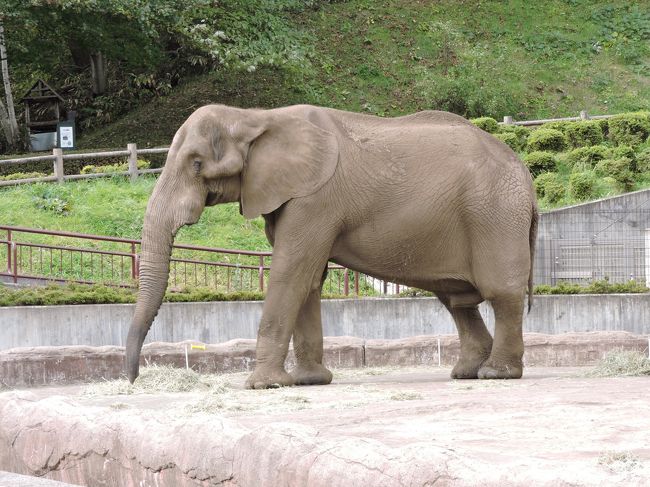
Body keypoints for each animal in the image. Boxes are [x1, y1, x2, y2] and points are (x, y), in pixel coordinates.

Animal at [125, 105, 536, 390]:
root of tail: (527, 177)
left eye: (196, 164)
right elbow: (308, 279)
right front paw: (309, 381)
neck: (255, 117)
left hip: (495, 214)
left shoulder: (315, 200)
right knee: (457, 300)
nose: (133, 380)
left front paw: (264, 386)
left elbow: (291, 271)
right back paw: (466, 372)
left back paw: (496, 374)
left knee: (500, 294)